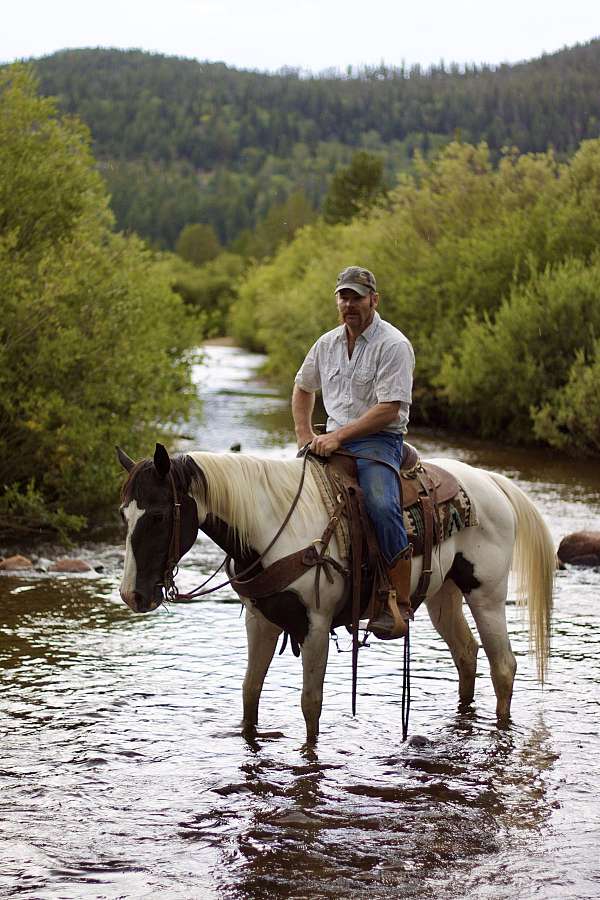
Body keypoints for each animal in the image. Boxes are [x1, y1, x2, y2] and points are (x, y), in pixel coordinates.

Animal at [117, 443, 555, 743]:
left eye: (158, 516)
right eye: (124, 514)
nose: (131, 596)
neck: (271, 525)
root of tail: (491, 481)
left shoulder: (315, 626)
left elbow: (311, 704)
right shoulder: (261, 620)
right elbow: (249, 693)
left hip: (487, 594)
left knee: (503, 666)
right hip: (441, 595)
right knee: (466, 654)